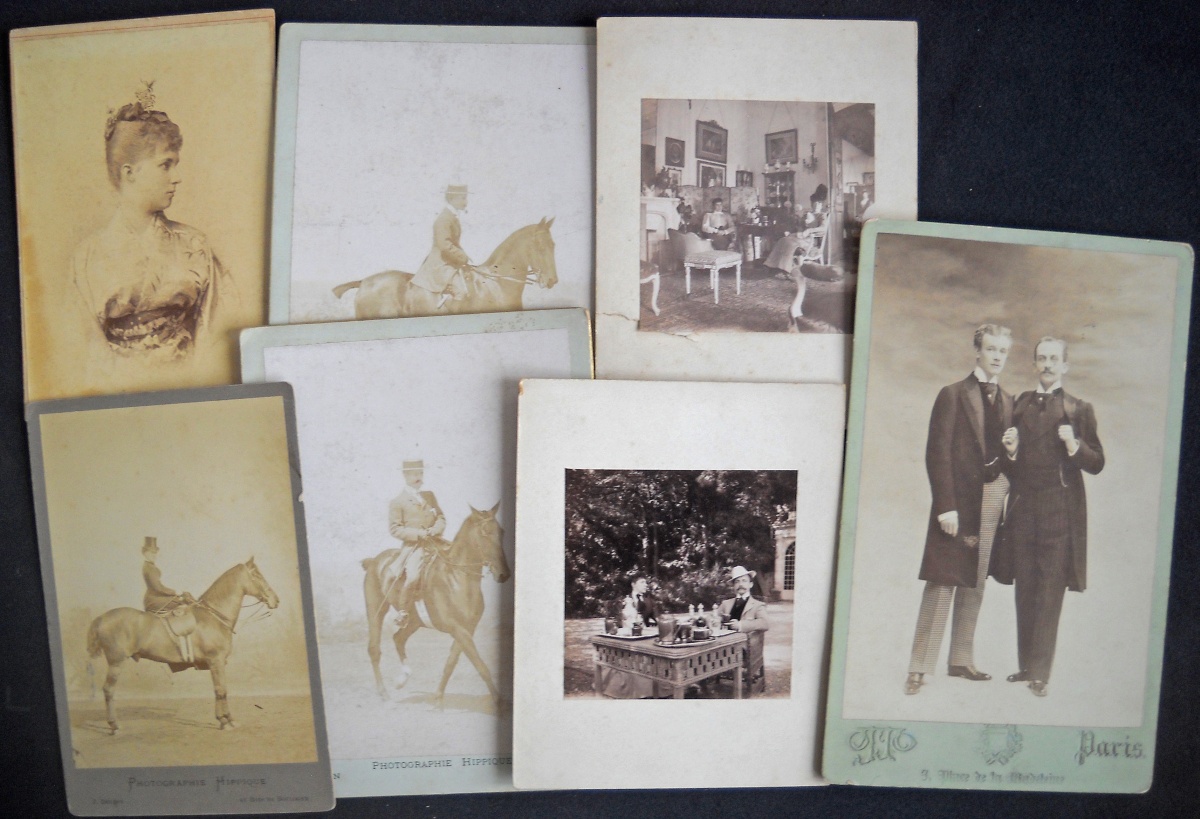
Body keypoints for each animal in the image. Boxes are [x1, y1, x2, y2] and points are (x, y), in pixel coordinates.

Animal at [85, 558, 279, 734]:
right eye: (258, 576)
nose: (276, 600)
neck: (213, 617)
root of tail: (100, 618)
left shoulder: (217, 663)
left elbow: (220, 690)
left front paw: (226, 719)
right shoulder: (215, 660)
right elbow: (221, 690)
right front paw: (225, 721)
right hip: (116, 662)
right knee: (108, 690)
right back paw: (114, 725)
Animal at [361, 503, 510, 709]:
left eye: (501, 531)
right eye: (485, 532)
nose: (504, 574)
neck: (457, 578)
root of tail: (373, 561)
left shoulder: (467, 628)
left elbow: (451, 662)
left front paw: (438, 698)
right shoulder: (458, 629)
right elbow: (480, 664)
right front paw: (498, 701)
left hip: (414, 621)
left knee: (399, 638)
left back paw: (403, 678)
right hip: (376, 611)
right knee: (374, 649)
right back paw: (384, 694)